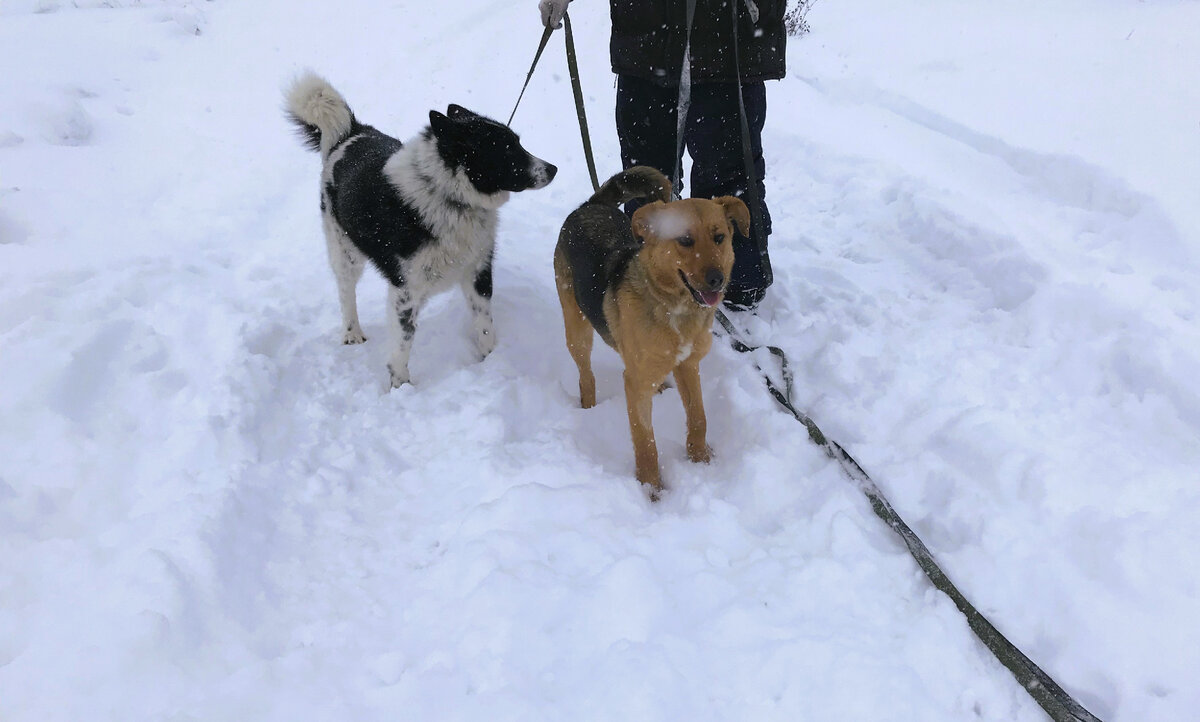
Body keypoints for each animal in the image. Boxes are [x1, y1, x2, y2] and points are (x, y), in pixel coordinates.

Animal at [285, 72, 556, 386]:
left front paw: (491, 360)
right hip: (344, 249)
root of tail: (350, 133)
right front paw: (401, 386)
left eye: (517, 143)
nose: (553, 169)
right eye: (507, 149)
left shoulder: (477, 272)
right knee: (346, 291)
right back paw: (352, 333)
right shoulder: (406, 290)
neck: (448, 195)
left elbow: (484, 324)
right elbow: (404, 342)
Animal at [554, 165, 748, 491]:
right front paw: (651, 489)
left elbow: (699, 417)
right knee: (586, 376)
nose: (717, 280)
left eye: (720, 237)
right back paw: (590, 407)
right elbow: (646, 442)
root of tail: (590, 206)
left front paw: (701, 459)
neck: (675, 308)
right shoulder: (635, 384)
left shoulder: (689, 365)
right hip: (576, 329)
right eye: (685, 240)